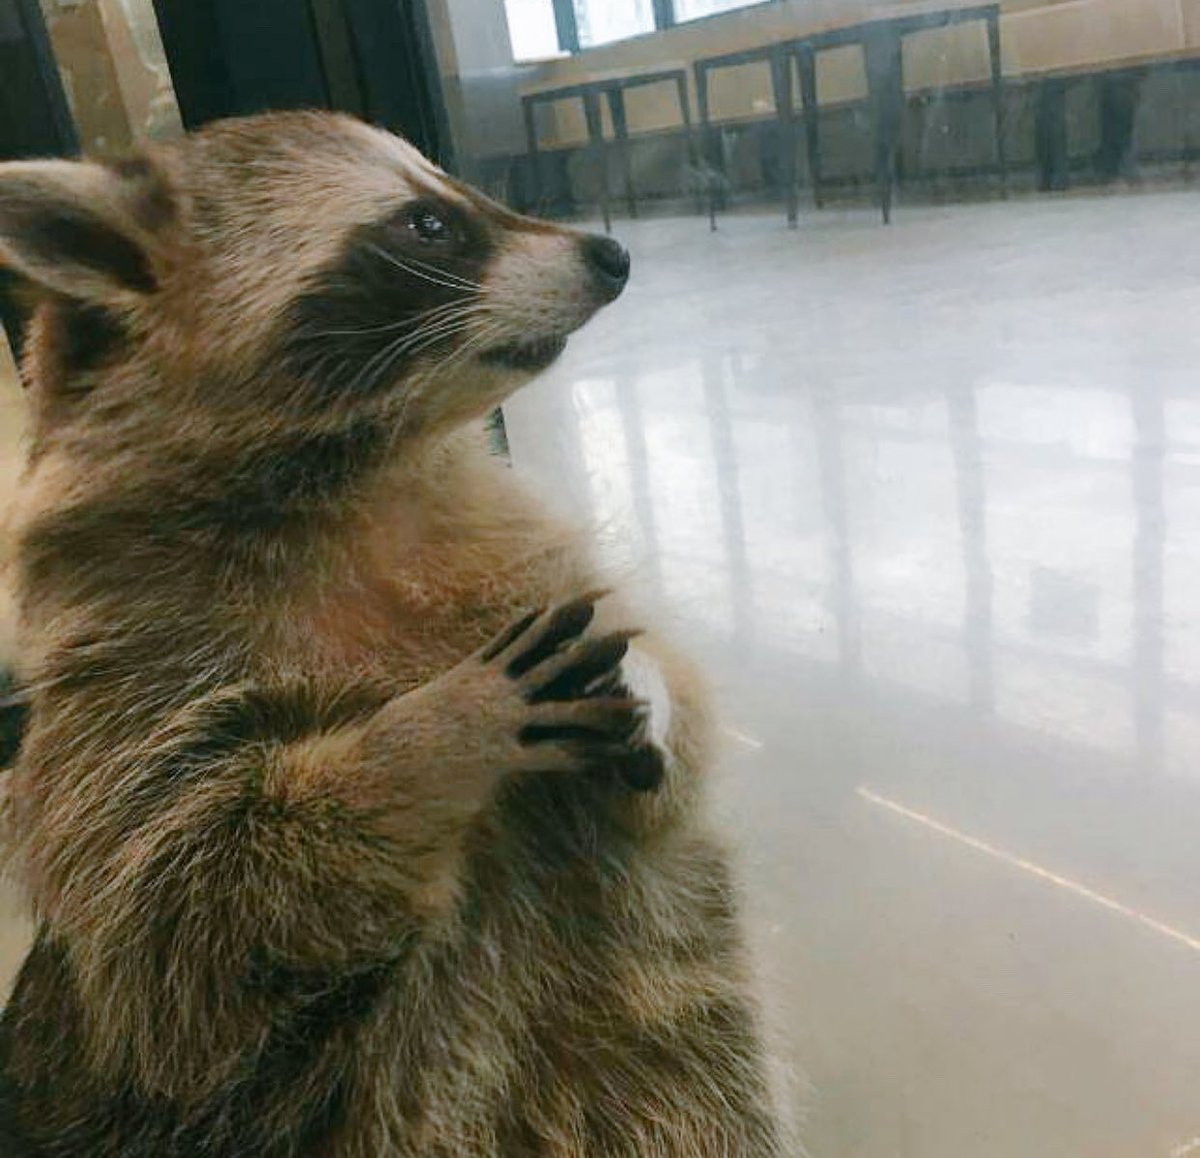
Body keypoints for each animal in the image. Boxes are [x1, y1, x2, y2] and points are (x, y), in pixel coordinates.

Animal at [0, 112, 785, 1156]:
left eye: (454, 190)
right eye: (427, 225)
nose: (612, 253)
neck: (363, 471)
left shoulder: (519, 545)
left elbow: (674, 749)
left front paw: (646, 684)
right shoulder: (118, 674)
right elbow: (183, 929)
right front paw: (435, 735)